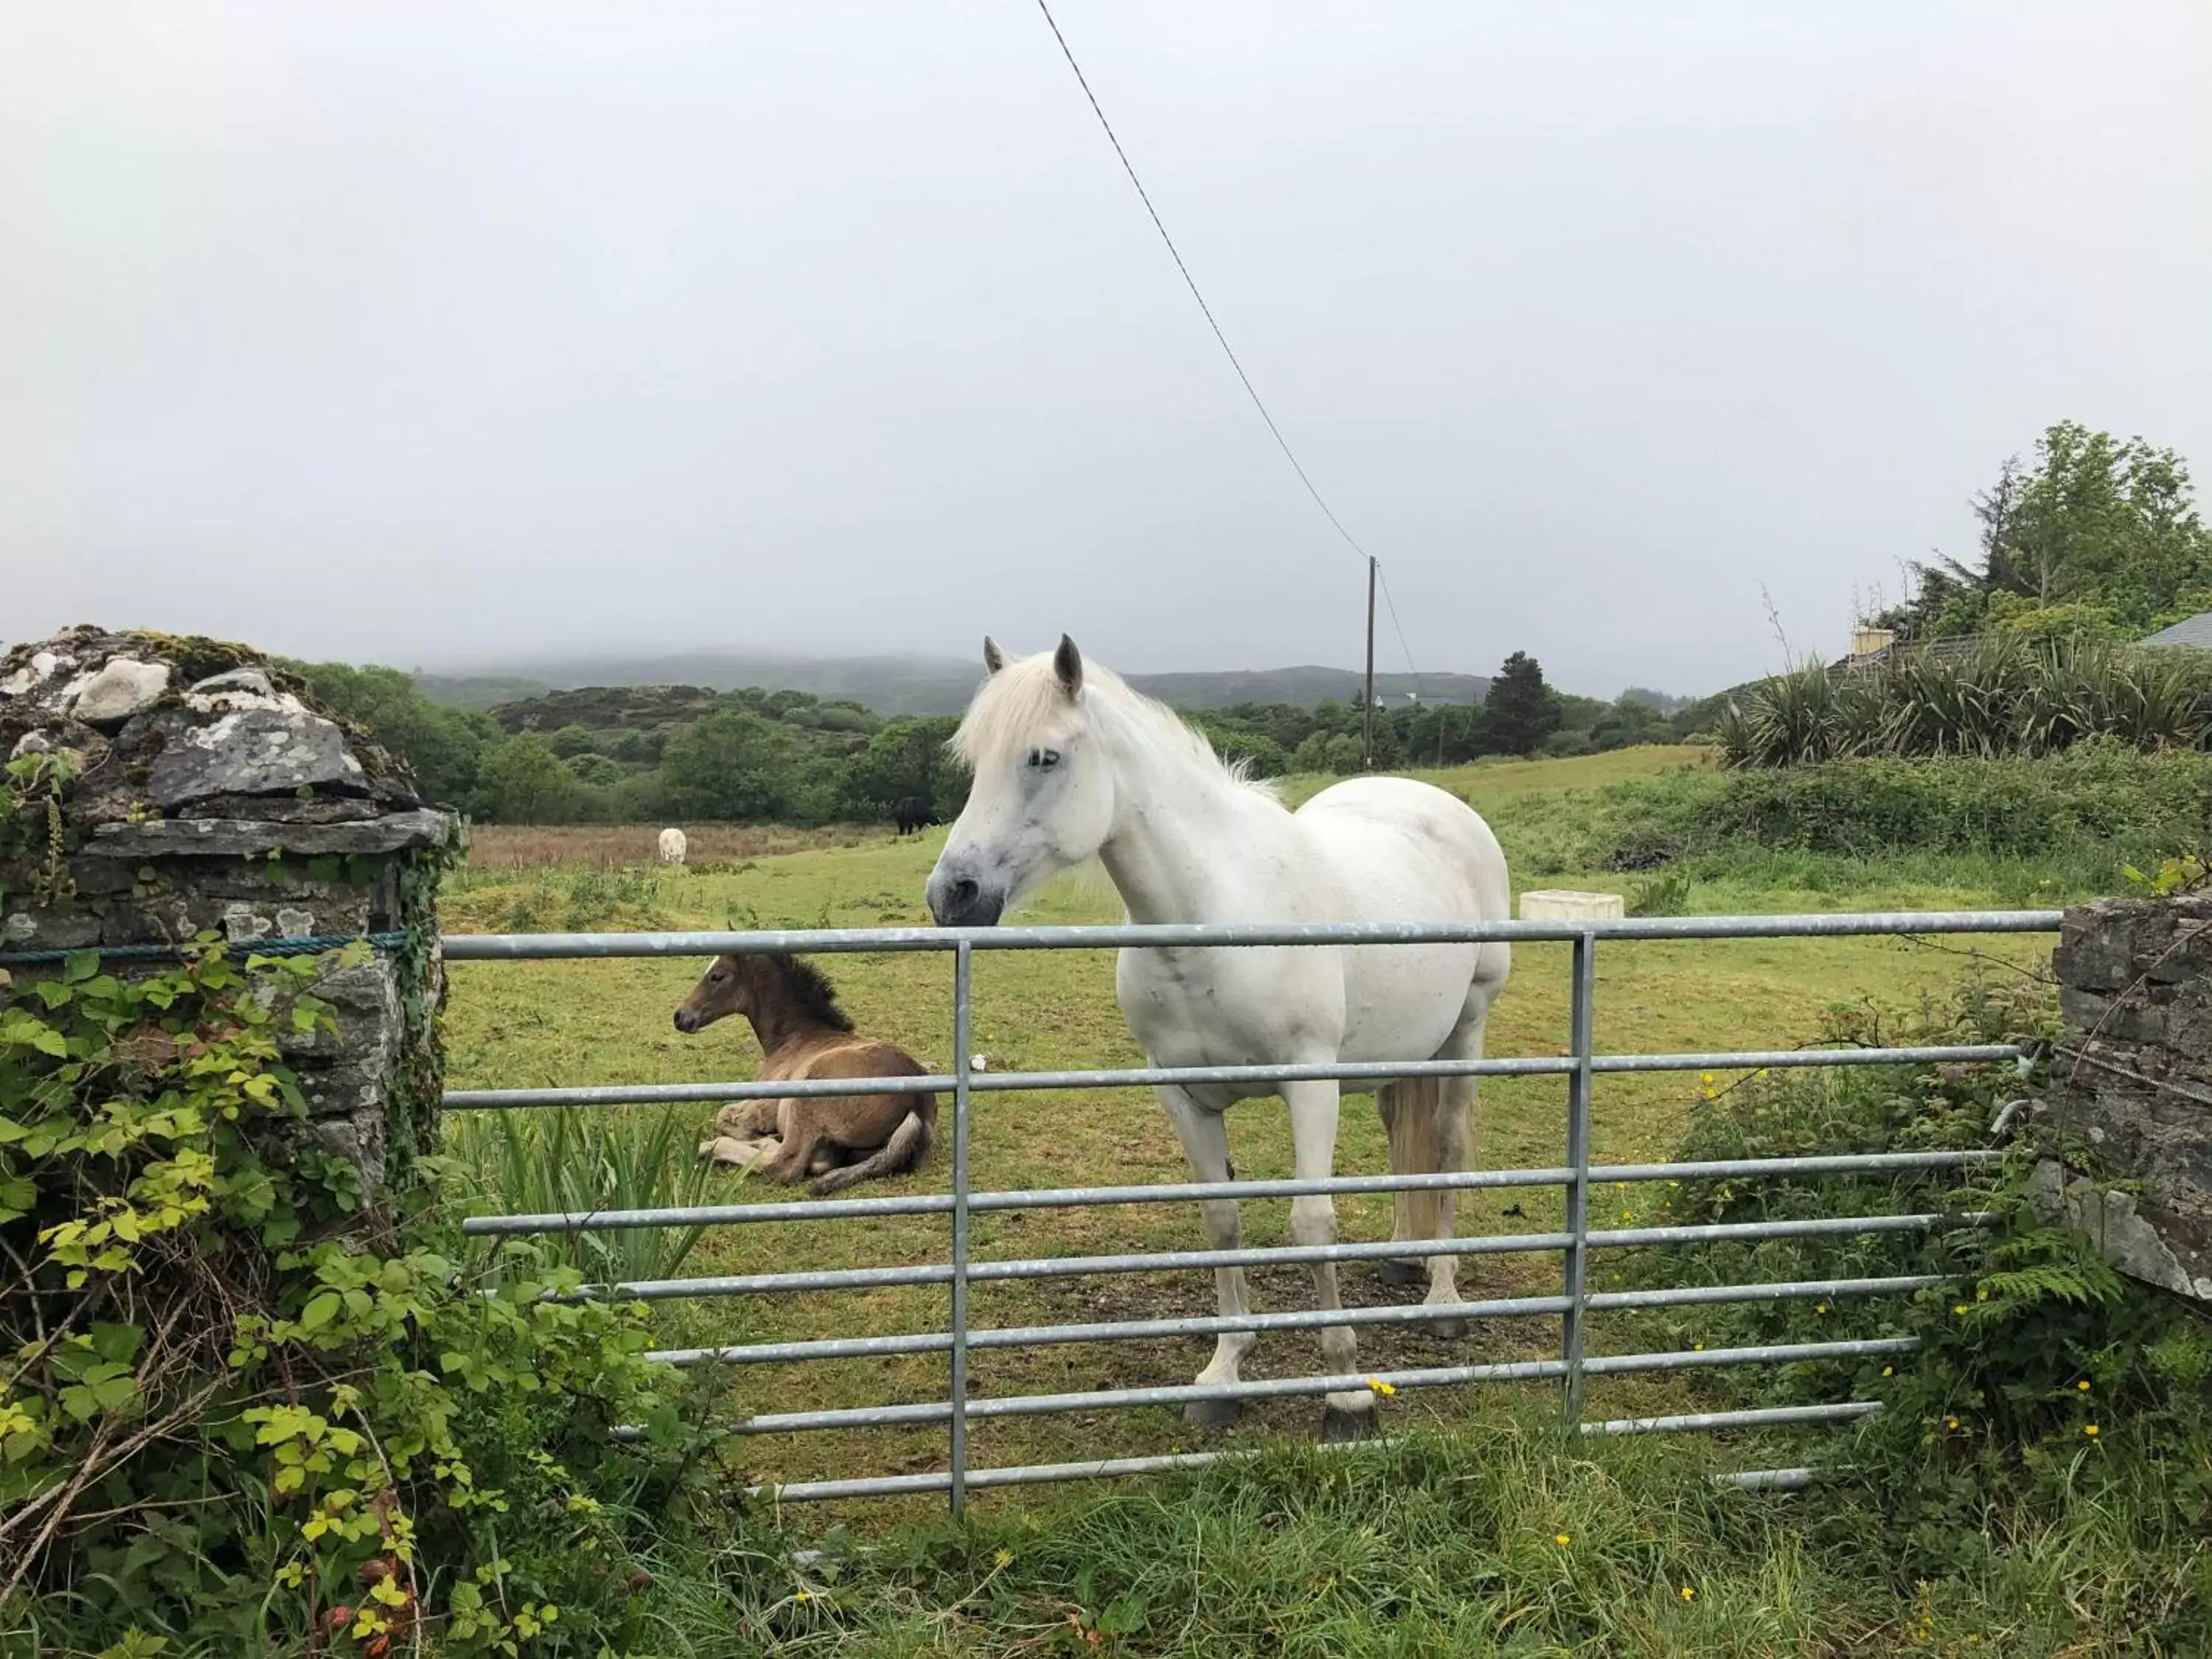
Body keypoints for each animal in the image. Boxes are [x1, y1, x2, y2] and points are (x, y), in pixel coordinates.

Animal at [925, 637, 1513, 1442]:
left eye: (1044, 757)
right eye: (975, 760)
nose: (951, 894)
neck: (1212, 915)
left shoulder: (1310, 1082)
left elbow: (1311, 1222)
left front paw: (1346, 1396)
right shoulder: (1183, 1094)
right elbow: (1221, 1219)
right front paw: (1223, 1375)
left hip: (1467, 1027)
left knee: (1447, 1147)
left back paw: (1445, 1301)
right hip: (1403, 1051)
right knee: (1404, 1135)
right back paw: (1403, 1259)